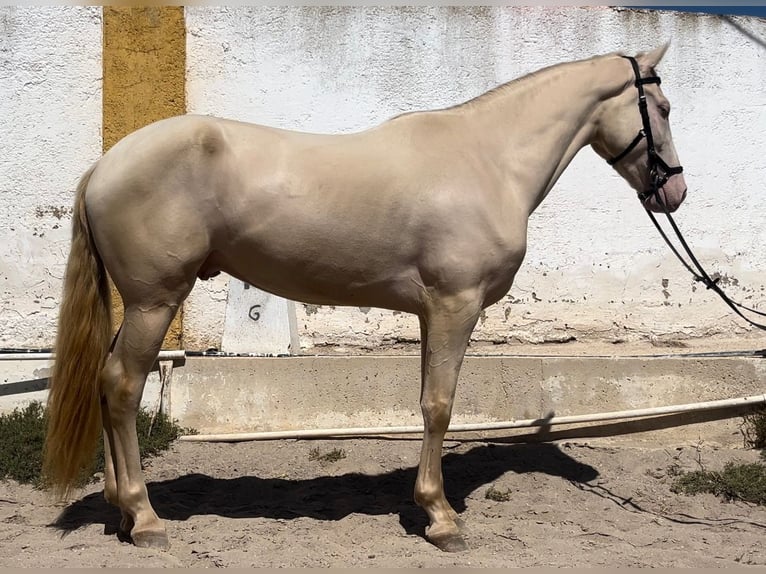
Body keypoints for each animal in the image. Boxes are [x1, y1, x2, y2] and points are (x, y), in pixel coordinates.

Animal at [43, 45, 688, 552]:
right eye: (661, 108)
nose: (674, 192)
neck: (487, 160)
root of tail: (106, 164)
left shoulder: (433, 314)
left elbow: (428, 403)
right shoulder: (456, 307)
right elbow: (439, 406)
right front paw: (441, 519)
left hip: (142, 305)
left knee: (108, 380)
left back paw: (121, 512)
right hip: (155, 302)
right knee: (123, 386)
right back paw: (145, 517)